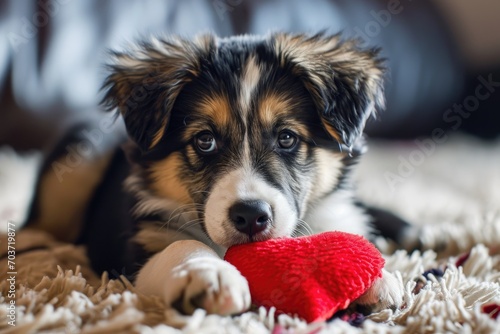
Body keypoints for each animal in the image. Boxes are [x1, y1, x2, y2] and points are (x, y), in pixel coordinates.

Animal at [29, 32, 404, 318]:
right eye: (204, 140)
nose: (251, 216)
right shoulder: (135, 250)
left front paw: (375, 276)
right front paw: (209, 276)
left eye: (286, 138)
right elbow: (182, 243)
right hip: (82, 154)